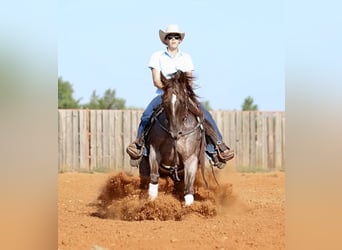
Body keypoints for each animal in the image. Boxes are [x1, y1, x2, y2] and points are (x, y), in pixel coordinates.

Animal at [142, 70, 206, 205]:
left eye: (182, 101)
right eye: (164, 101)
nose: (175, 133)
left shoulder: (191, 158)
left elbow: (188, 188)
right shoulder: (154, 151)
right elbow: (154, 178)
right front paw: (151, 204)